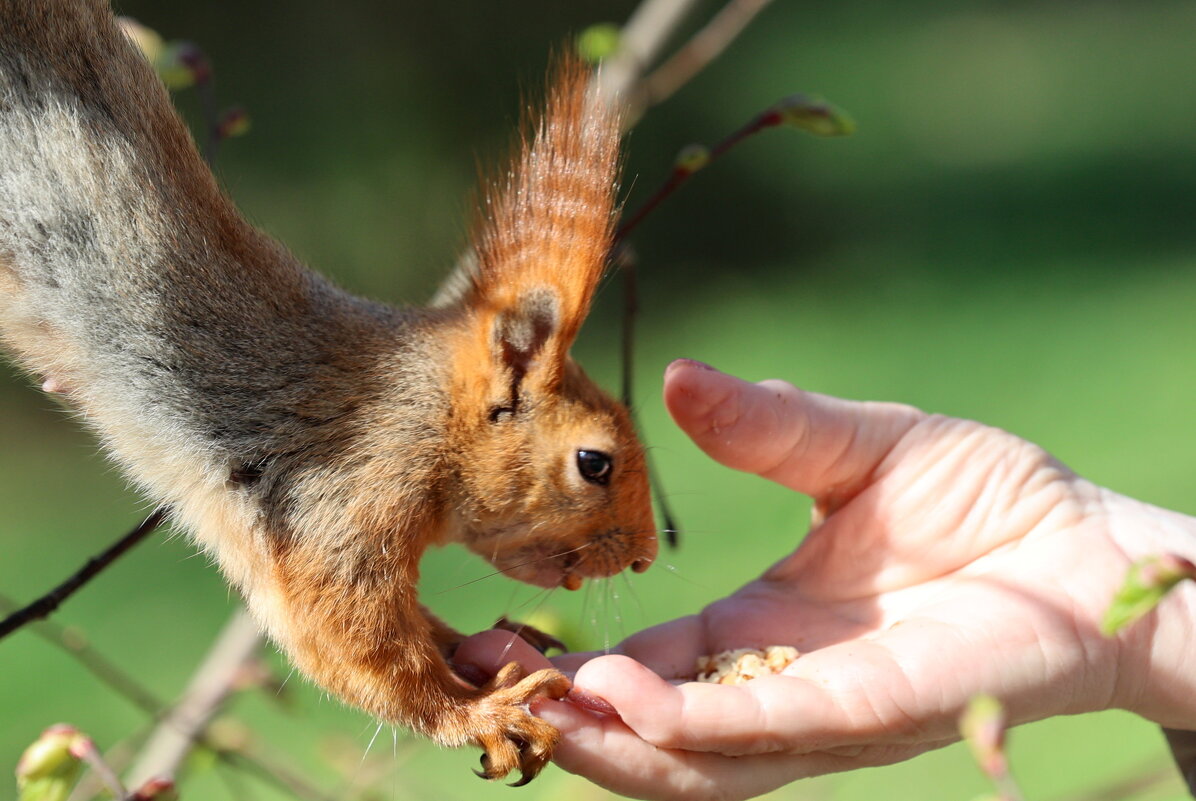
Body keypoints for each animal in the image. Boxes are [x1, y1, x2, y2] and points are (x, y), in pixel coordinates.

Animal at [0, 0, 655, 779]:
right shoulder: (344, 494)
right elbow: (351, 638)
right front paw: (478, 713)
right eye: (594, 463)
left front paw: (481, 644)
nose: (647, 557)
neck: (422, 410)